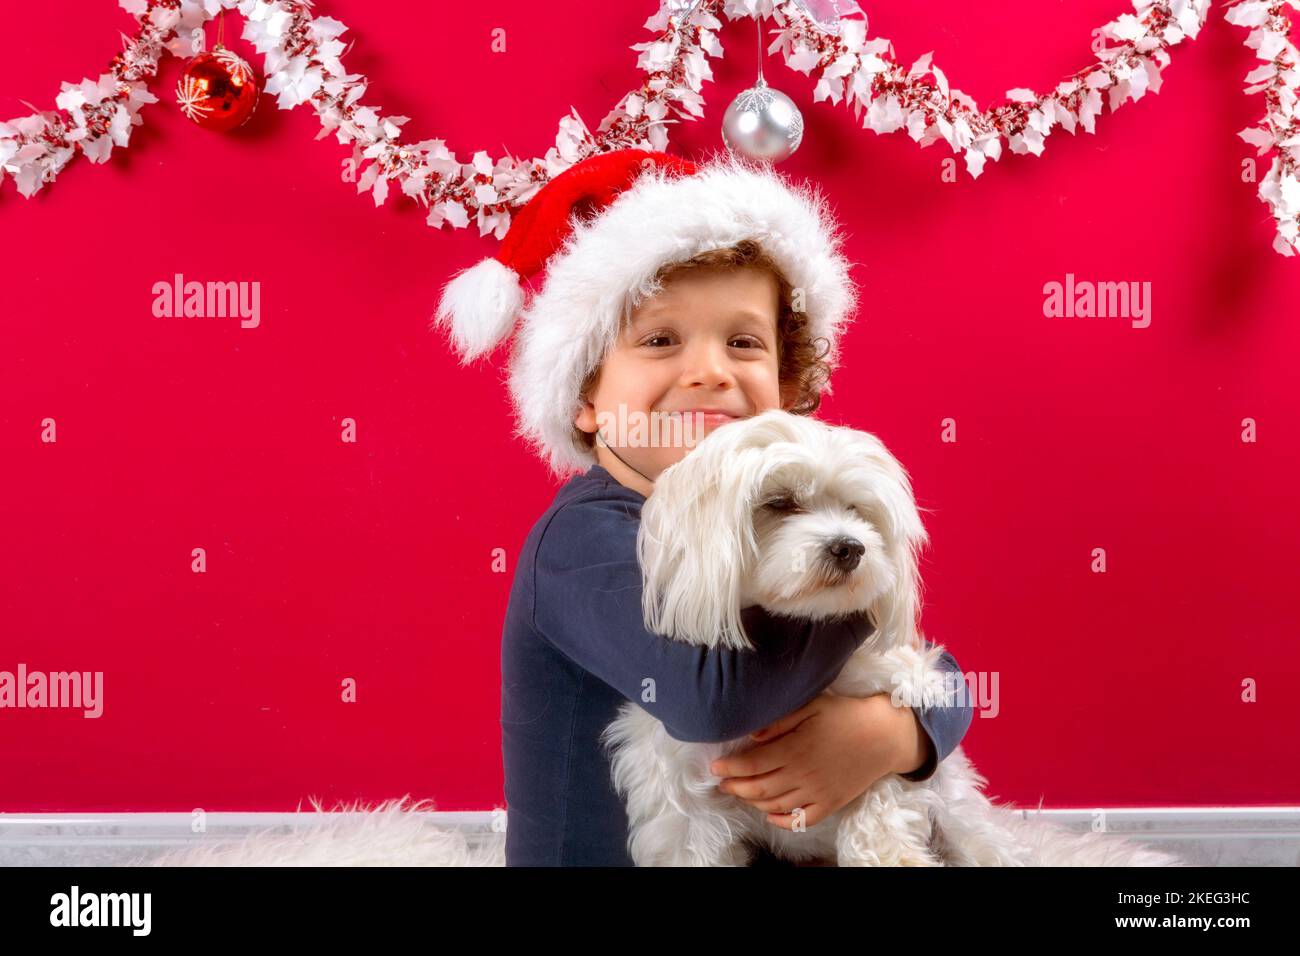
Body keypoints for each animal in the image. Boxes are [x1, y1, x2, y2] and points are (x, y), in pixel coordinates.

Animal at [603, 408, 1185, 868]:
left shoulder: (888, 722)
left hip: (964, 821)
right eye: (780, 502)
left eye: (858, 509)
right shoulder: (683, 804)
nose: (849, 546)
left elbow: (879, 798)